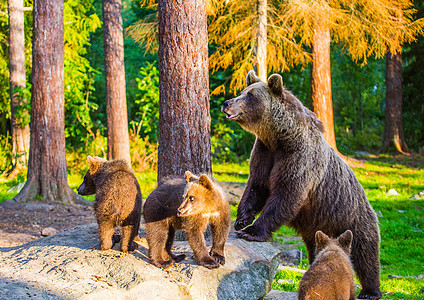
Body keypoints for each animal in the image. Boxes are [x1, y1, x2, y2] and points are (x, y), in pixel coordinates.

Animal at [222, 71, 380, 300]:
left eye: (250, 96)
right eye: (242, 92)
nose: (226, 103)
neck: (278, 136)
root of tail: (365, 196)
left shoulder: (298, 156)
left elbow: (286, 194)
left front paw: (252, 231)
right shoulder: (264, 153)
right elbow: (256, 186)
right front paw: (242, 220)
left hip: (351, 217)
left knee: (365, 253)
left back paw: (370, 291)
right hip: (317, 228)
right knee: (318, 248)